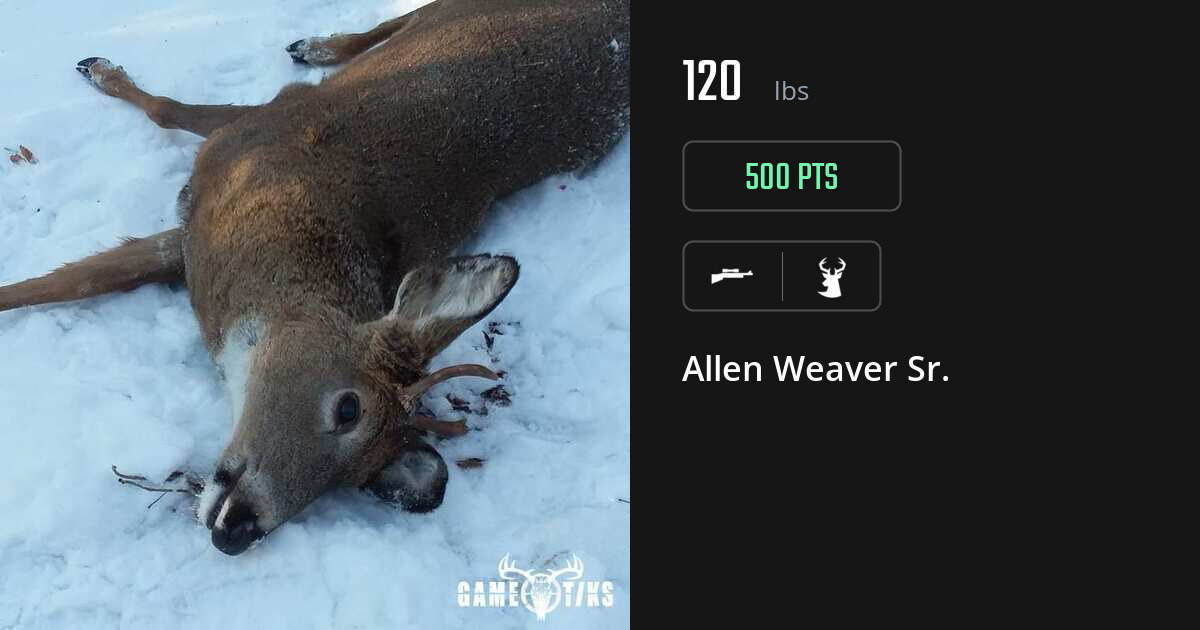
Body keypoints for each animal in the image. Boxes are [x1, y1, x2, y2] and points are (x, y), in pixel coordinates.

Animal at [0, 0, 629, 555]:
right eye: (348, 409)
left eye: (356, 478)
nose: (239, 530)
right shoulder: (251, 133)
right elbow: (164, 115)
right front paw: (105, 71)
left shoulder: (193, 240)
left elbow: (78, 279)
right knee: (385, 26)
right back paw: (309, 45)